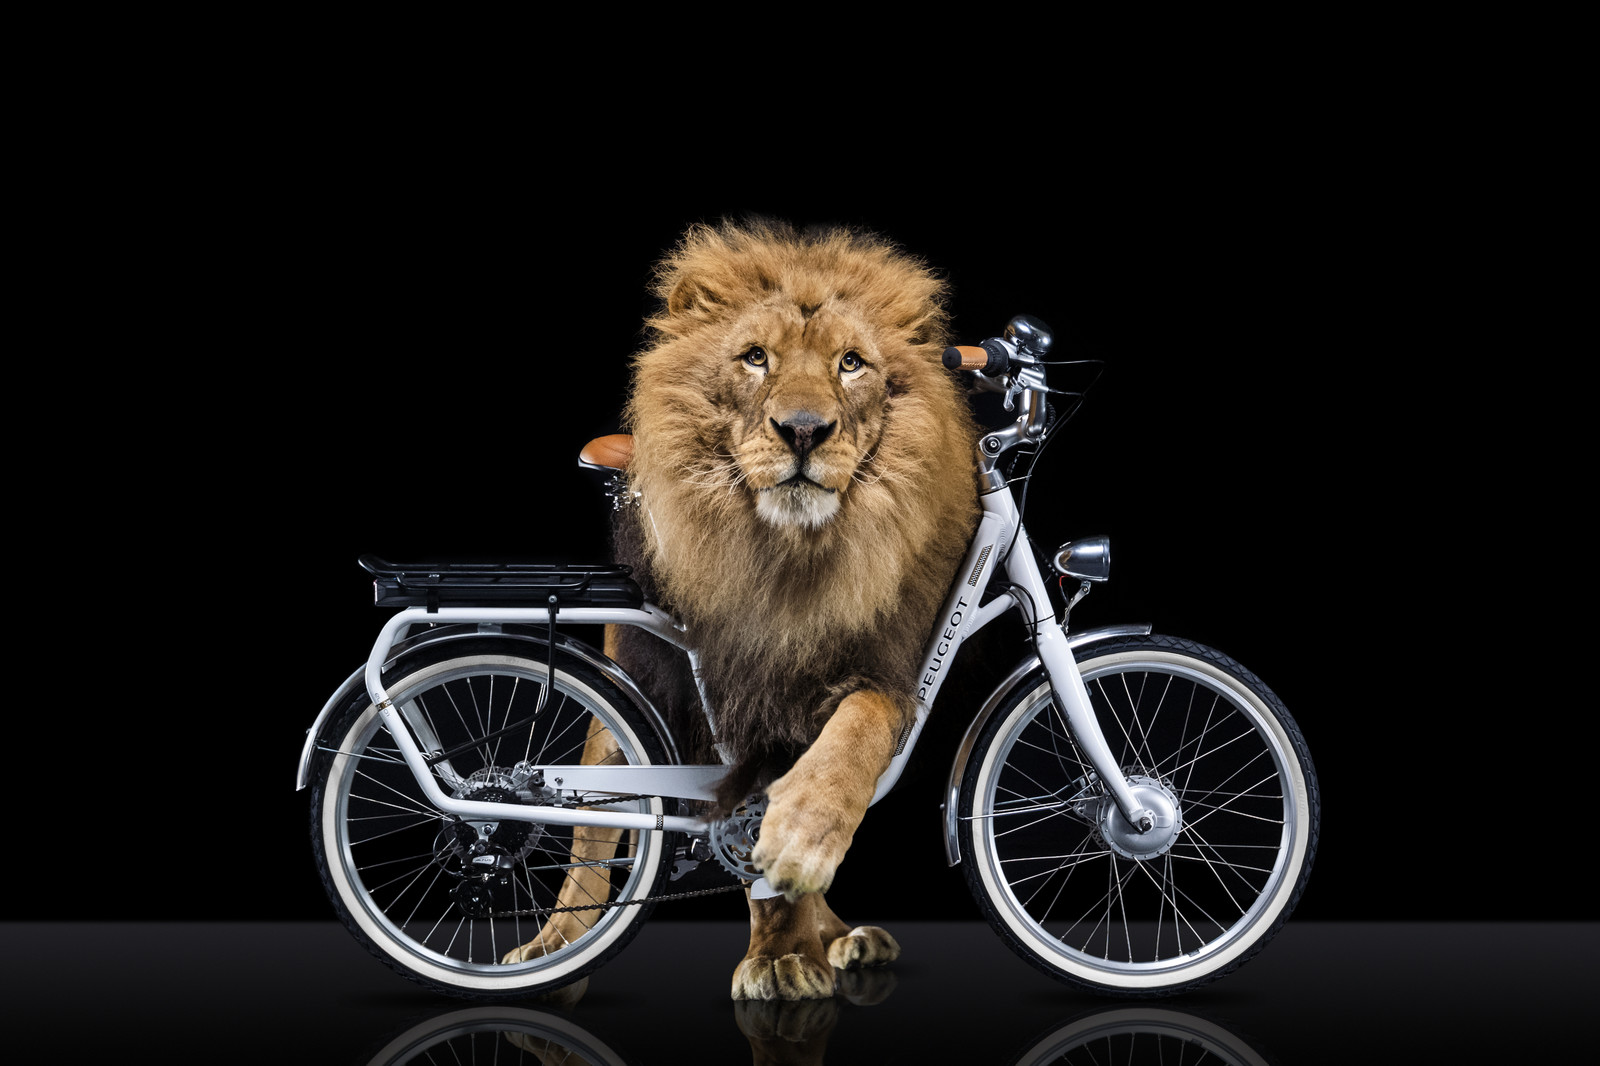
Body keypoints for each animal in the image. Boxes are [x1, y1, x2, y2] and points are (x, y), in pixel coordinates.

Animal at [502, 219, 981, 1001]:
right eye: (756, 357)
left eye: (852, 363)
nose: (804, 429)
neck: (788, 562)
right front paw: (782, 955)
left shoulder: (886, 671)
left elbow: (851, 738)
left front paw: (800, 856)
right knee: (587, 827)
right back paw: (553, 947)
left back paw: (840, 934)